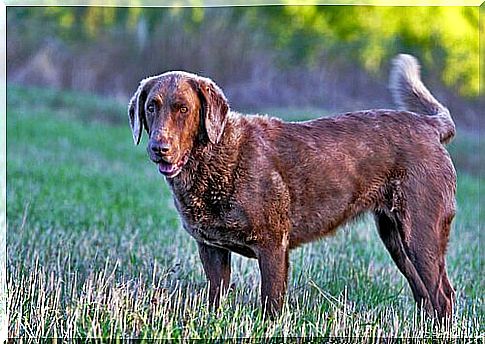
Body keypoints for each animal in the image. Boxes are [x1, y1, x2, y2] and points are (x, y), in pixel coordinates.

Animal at [127, 55, 454, 318]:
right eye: (151, 107)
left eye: (183, 109)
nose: (159, 148)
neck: (214, 158)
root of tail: (431, 127)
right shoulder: (211, 249)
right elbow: (216, 297)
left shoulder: (272, 246)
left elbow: (271, 303)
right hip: (395, 239)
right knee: (425, 294)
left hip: (421, 235)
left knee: (443, 294)